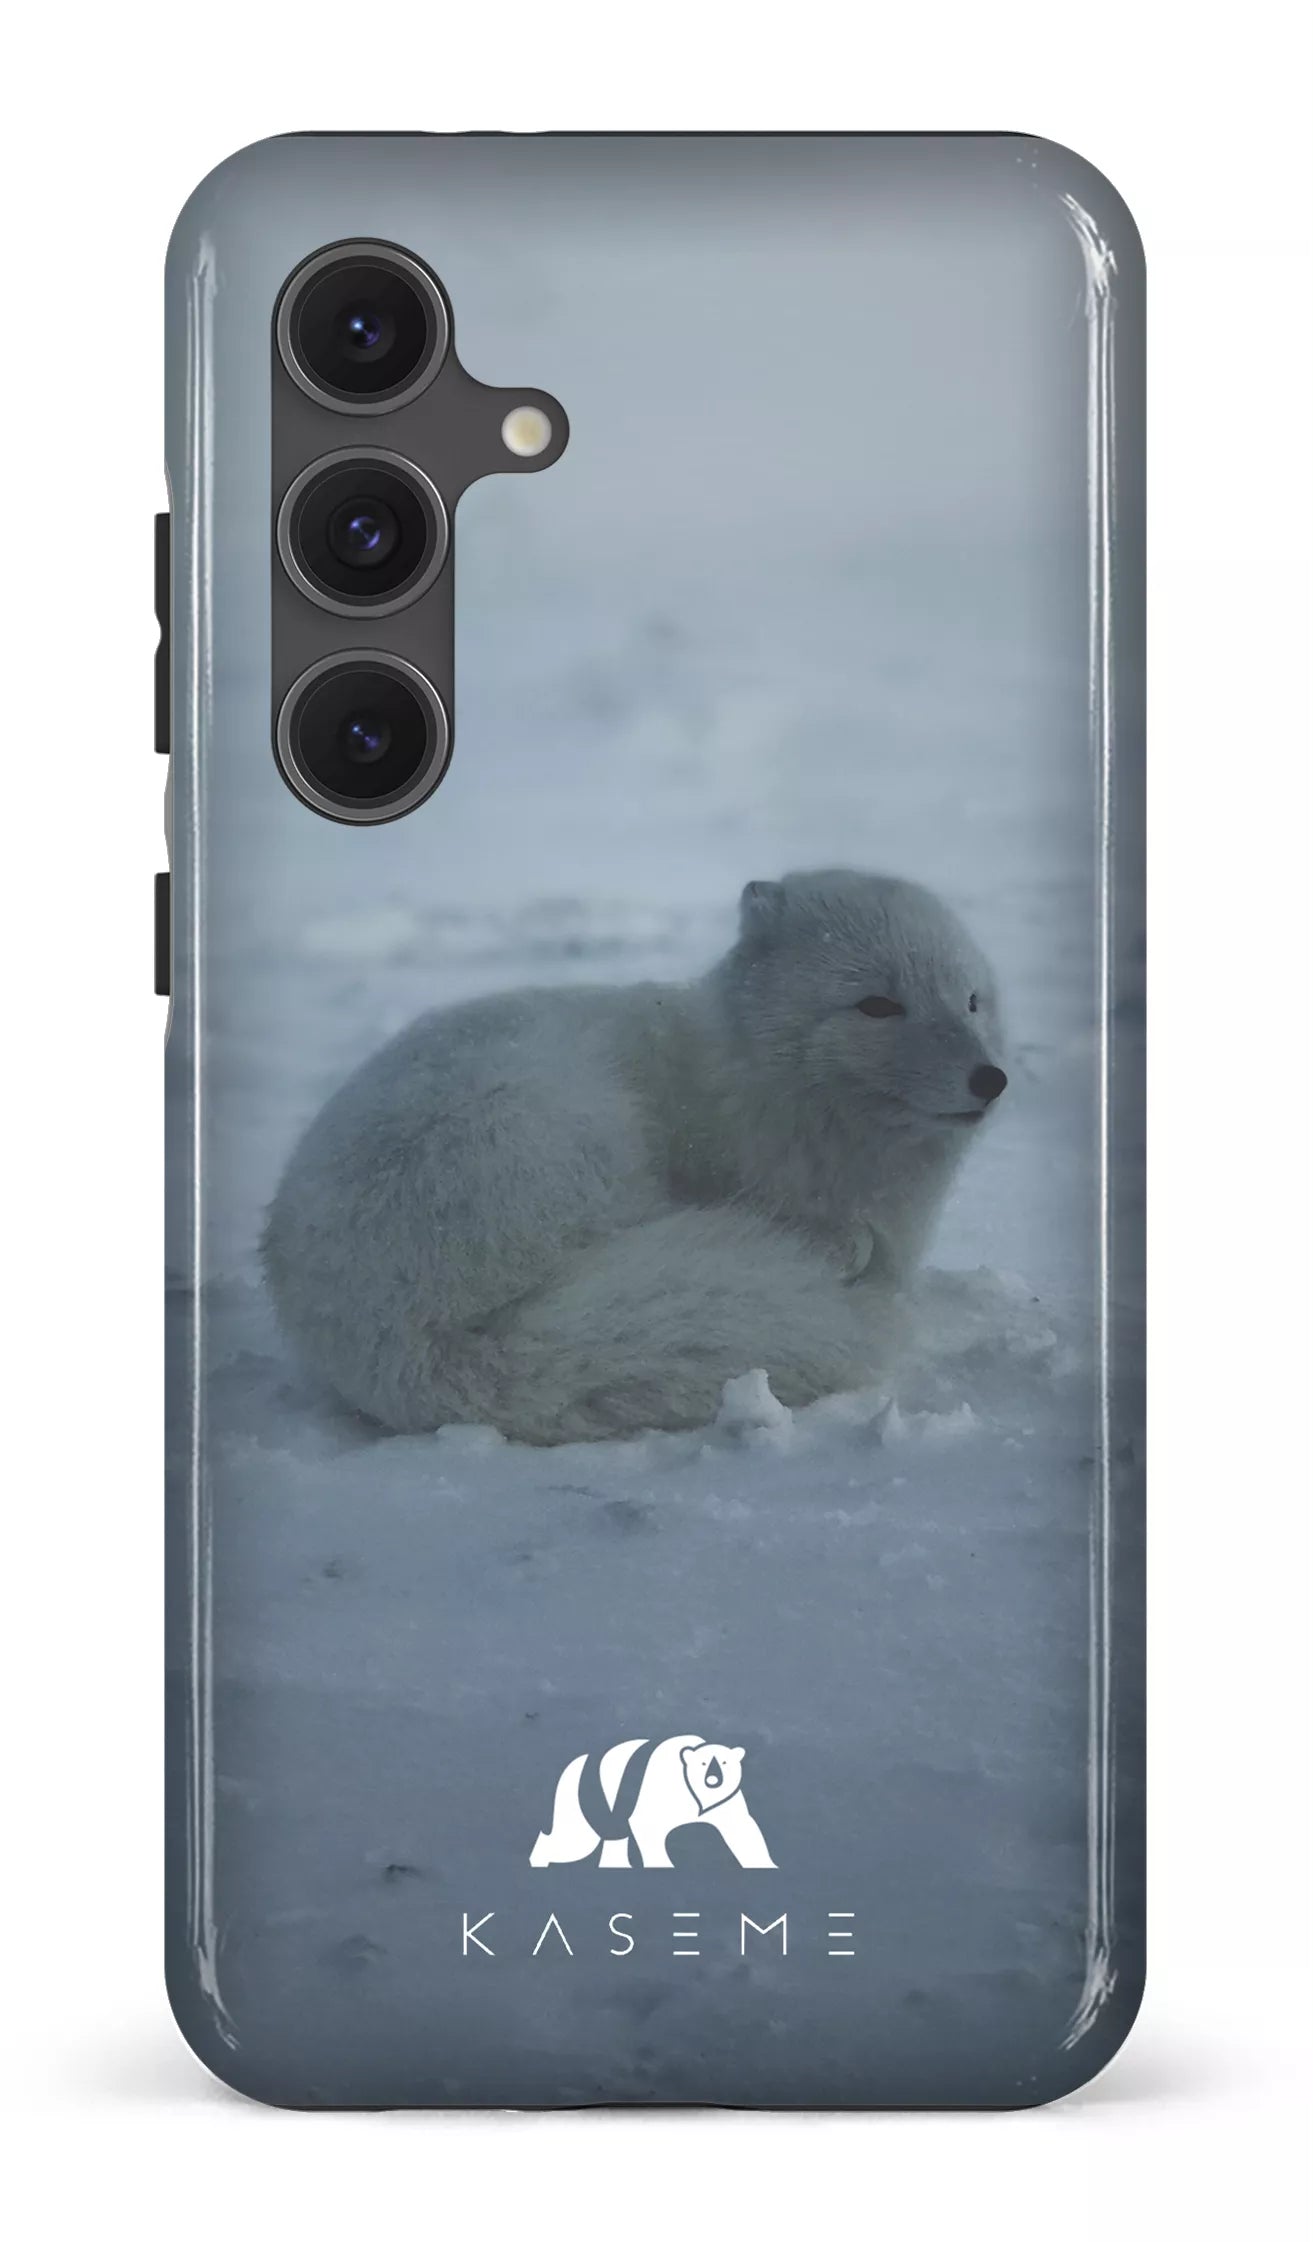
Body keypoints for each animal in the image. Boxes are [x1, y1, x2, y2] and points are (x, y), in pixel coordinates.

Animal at [262, 869, 1007, 1444]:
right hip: (563, 1131)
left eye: (971, 1000)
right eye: (876, 1005)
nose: (990, 1079)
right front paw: (840, 1248)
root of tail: (409, 1342)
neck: (748, 1079)